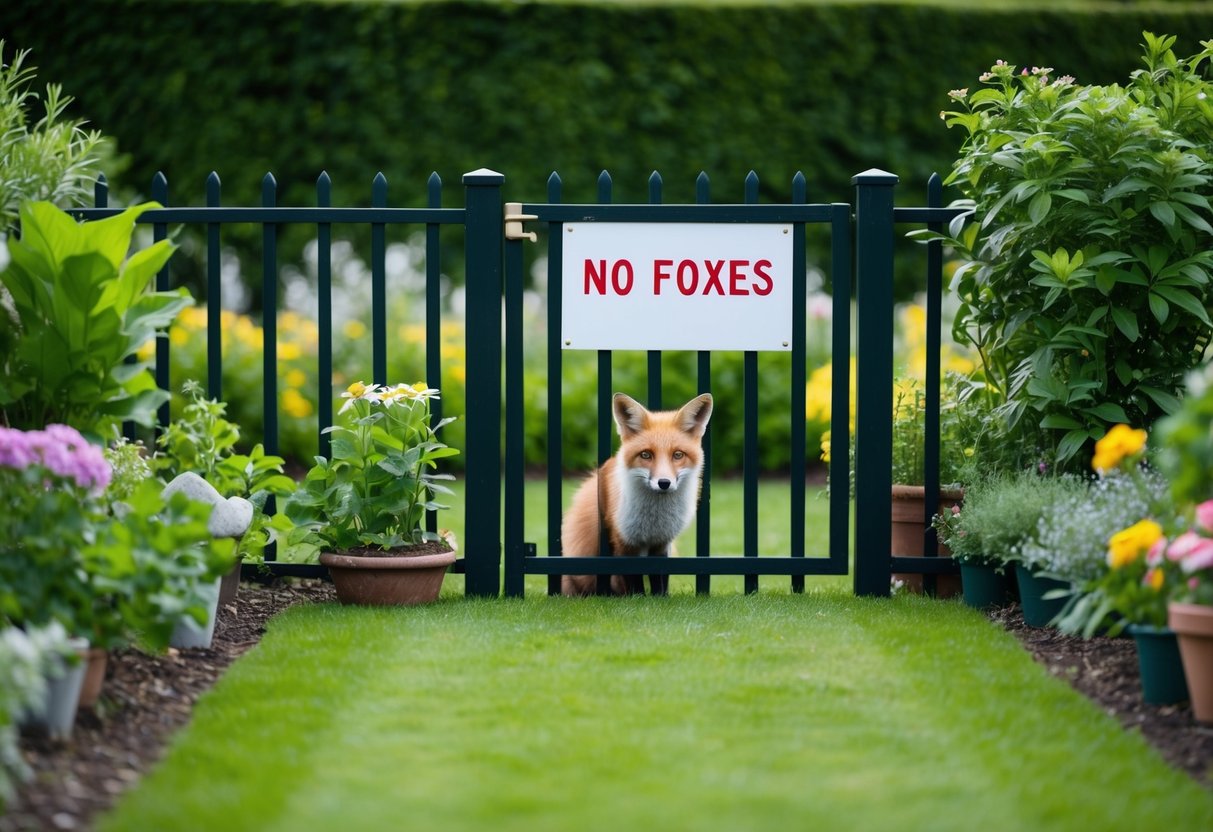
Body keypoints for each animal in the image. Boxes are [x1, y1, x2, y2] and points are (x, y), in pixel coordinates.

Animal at [561, 392, 713, 596]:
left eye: (678, 455)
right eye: (646, 455)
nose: (664, 483)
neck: (654, 518)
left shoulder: (662, 543)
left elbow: (660, 579)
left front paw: (660, 599)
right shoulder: (625, 542)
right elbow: (634, 580)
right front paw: (638, 599)